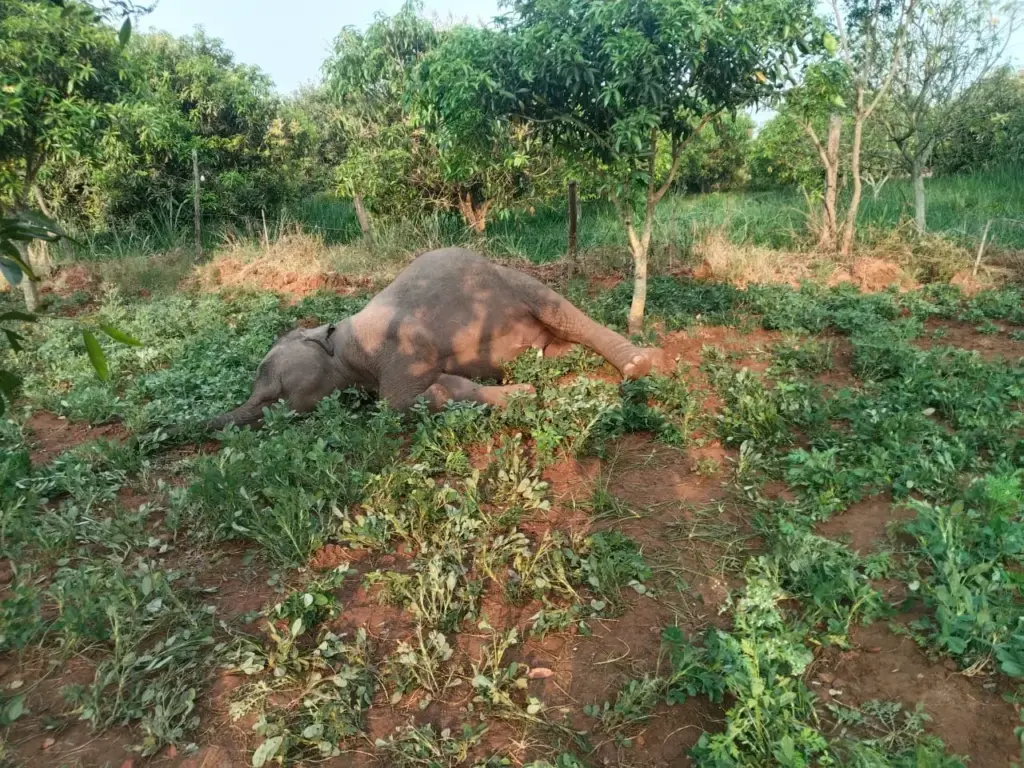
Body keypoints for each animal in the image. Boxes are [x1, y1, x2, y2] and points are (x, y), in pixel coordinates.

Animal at [205, 247, 658, 431]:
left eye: (273, 390)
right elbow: (430, 391)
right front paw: (523, 392)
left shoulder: (401, 340)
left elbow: (397, 403)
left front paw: (526, 394)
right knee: (553, 344)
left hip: (516, 282)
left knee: (560, 309)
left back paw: (638, 364)